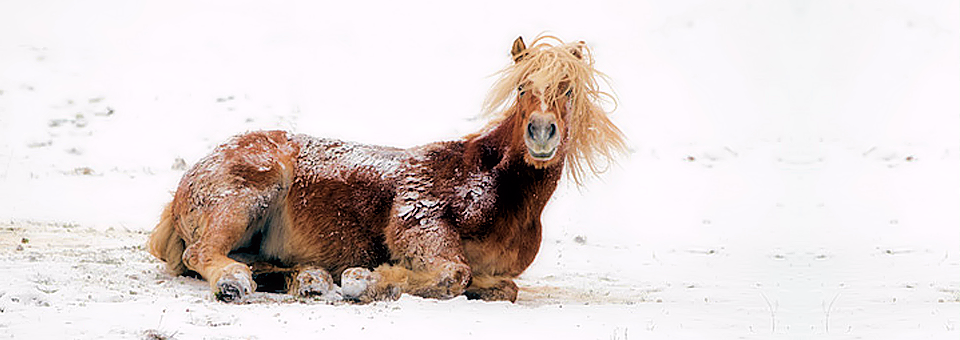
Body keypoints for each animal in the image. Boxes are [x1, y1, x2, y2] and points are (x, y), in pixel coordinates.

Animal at [142, 35, 624, 302]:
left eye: (568, 90)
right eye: (523, 87)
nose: (541, 133)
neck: (492, 188)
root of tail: (184, 185)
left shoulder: (501, 274)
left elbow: (503, 288)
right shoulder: (418, 225)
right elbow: (454, 274)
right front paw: (365, 281)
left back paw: (311, 281)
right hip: (247, 197)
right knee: (202, 254)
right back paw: (235, 284)